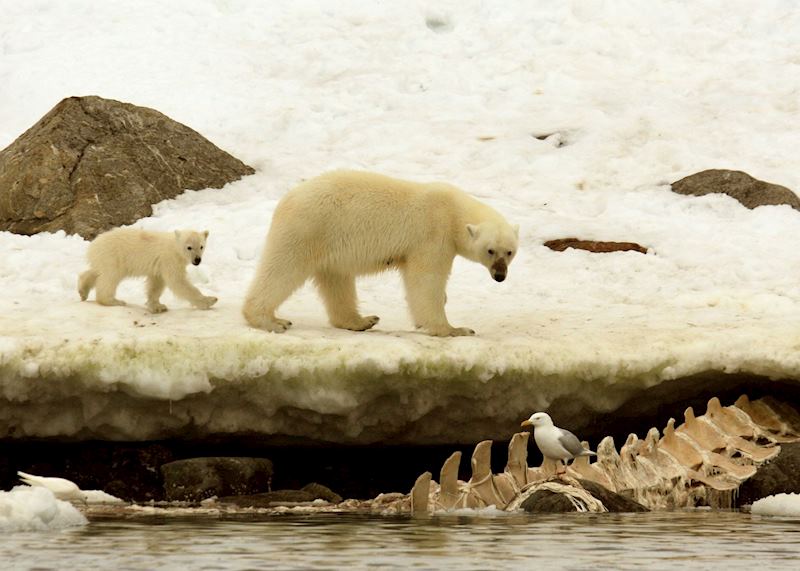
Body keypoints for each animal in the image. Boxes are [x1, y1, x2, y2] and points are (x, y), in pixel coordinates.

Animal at [78, 228, 218, 313]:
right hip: (113, 256)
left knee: (96, 272)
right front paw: (209, 301)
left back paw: (83, 291)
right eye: (189, 247)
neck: (174, 246)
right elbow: (178, 281)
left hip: (105, 259)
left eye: (201, 246)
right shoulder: (169, 259)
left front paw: (157, 306)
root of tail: (94, 244)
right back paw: (114, 301)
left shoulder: (159, 266)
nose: (197, 260)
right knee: (109, 278)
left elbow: (156, 284)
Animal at [242, 170, 518, 336]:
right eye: (490, 250)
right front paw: (454, 329)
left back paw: (362, 320)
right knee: (283, 270)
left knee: (336, 281)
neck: (453, 211)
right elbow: (426, 281)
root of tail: (286, 200)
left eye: (510, 252)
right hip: (308, 229)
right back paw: (271, 320)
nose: (500, 275)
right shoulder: (432, 235)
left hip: (327, 243)